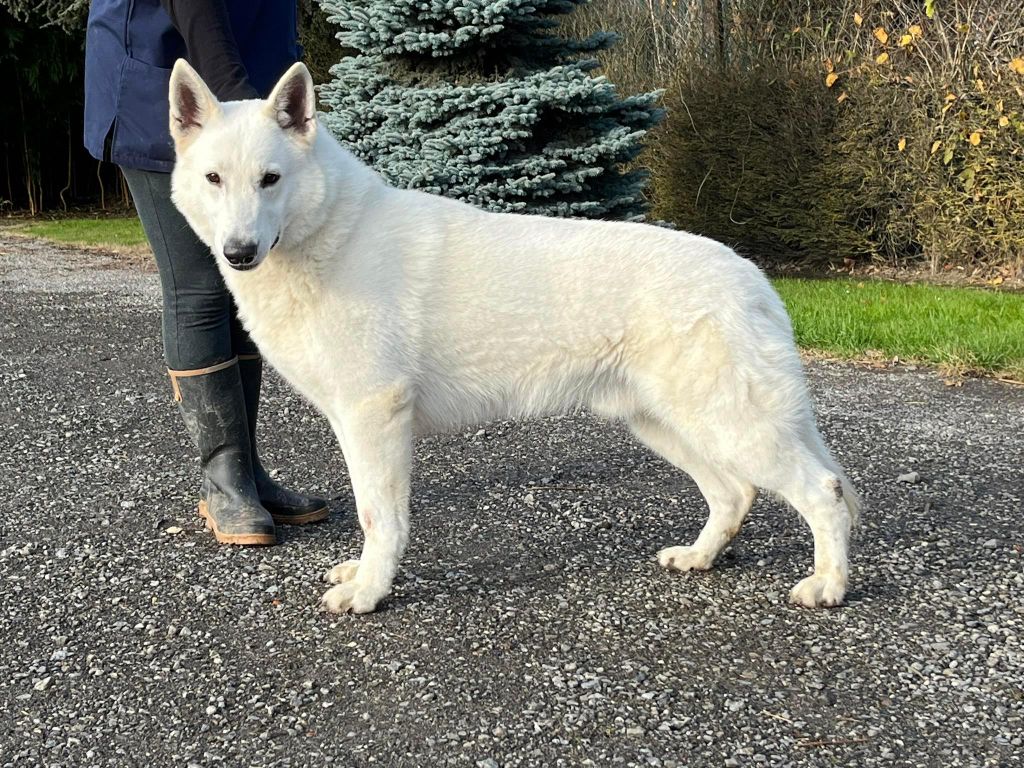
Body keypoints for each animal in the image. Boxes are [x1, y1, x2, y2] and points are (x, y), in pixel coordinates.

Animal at [167, 60, 860, 615]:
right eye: (214, 180)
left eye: (270, 179)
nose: (239, 253)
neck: (329, 235)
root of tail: (751, 275)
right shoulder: (355, 424)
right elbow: (371, 514)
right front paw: (365, 576)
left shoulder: (375, 418)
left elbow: (379, 517)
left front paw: (370, 592)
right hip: (667, 425)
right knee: (735, 494)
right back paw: (700, 557)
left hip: (728, 425)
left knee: (823, 492)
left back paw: (828, 586)